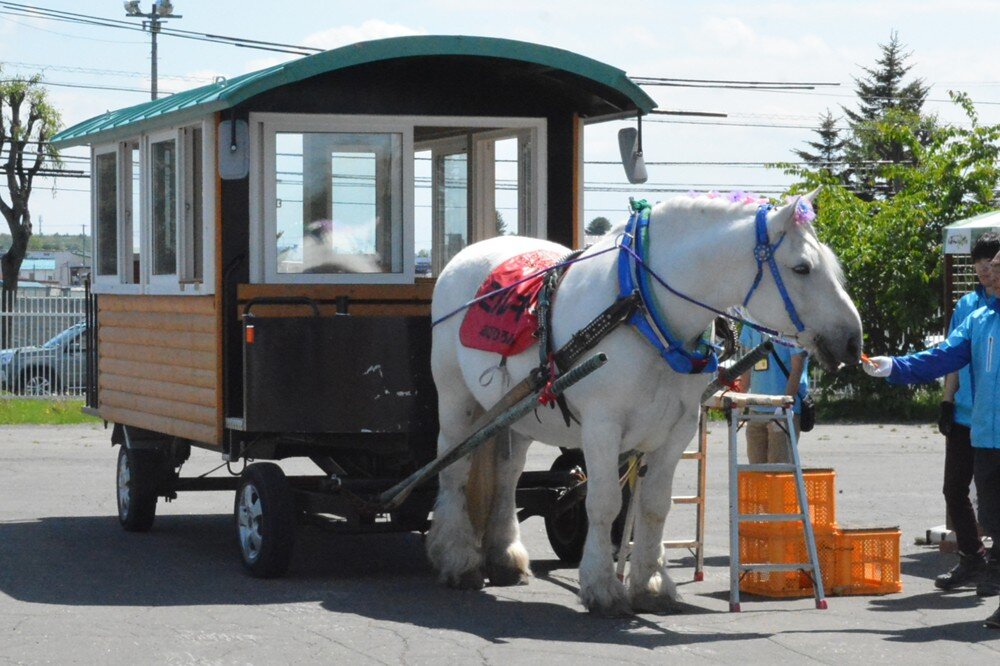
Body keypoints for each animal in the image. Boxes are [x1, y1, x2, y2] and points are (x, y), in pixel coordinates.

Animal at [425, 191, 863, 616]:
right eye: (802, 268)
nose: (853, 341)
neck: (642, 309)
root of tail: (466, 254)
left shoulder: (677, 430)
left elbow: (654, 506)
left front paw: (651, 584)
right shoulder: (602, 427)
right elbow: (603, 503)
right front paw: (602, 587)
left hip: (517, 413)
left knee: (507, 474)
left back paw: (505, 556)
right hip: (457, 401)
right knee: (454, 469)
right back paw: (457, 558)